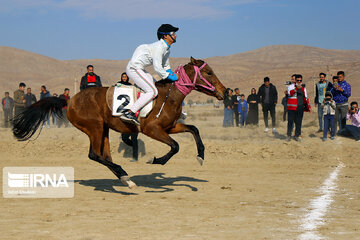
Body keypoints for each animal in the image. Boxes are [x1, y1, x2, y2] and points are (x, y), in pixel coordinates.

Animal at [12, 57, 226, 188]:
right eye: (208, 72)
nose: (225, 91)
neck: (169, 95)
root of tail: (69, 100)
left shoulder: (170, 127)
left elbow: (194, 129)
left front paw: (200, 155)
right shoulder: (152, 129)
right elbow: (175, 146)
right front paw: (155, 160)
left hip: (103, 130)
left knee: (104, 156)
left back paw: (125, 178)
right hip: (95, 127)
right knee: (94, 155)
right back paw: (123, 174)